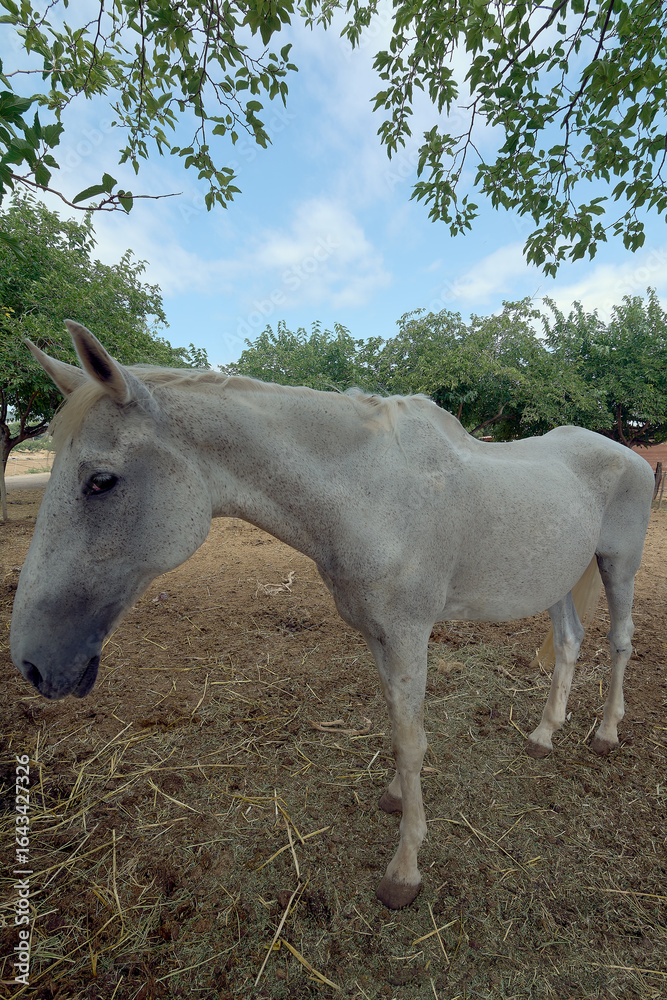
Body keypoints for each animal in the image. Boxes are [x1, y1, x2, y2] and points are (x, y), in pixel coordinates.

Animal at [10, 322, 655, 910]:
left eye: (101, 481)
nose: (35, 664)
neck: (372, 494)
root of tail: (632, 456)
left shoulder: (408, 634)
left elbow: (411, 739)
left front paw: (404, 871)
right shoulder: (378, 635)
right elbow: (398, 726)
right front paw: (396, 797)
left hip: (618, 564)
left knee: (620, 641)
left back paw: (605, 733)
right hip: (559, 578)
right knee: (570, 642)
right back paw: (544, 735)